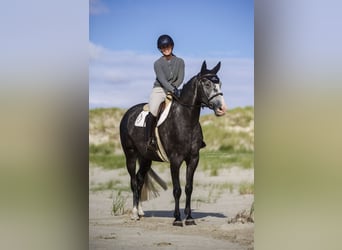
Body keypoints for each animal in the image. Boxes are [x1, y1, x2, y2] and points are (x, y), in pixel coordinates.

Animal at [119, 61, 227, 227]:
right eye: (207, 83)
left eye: (219, 83)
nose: (222, 109)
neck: (185, 120)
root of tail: (128, 114)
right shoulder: (175, 160)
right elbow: (177, 189)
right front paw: (177, 219)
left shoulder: (193, 159)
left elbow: (188, 188)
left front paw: (189, 218)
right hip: (130, 155)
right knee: (133, 181)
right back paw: (134, 214)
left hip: (145, 158)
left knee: (140, 179)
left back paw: (141, 211)